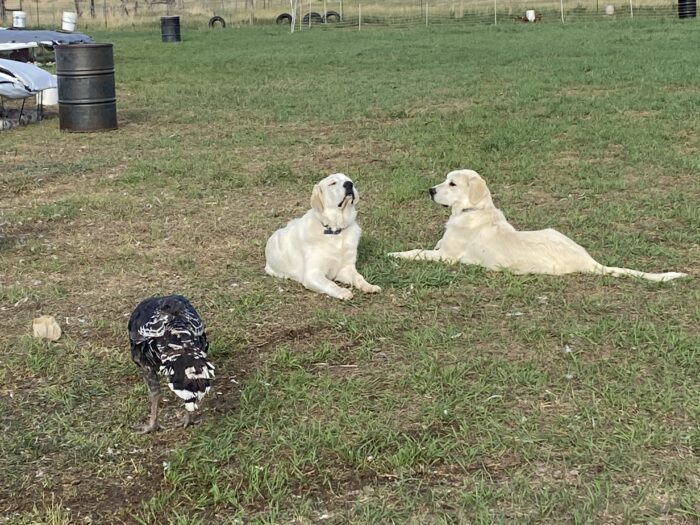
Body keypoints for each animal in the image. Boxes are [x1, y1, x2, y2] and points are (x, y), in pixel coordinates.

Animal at [388, 169, 688, 282]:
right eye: (444, 179)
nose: (429, 190)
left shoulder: (446, 257)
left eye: (452, 183)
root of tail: (589, 261)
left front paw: (394, 254)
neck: (474, 210)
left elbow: (416, 252)